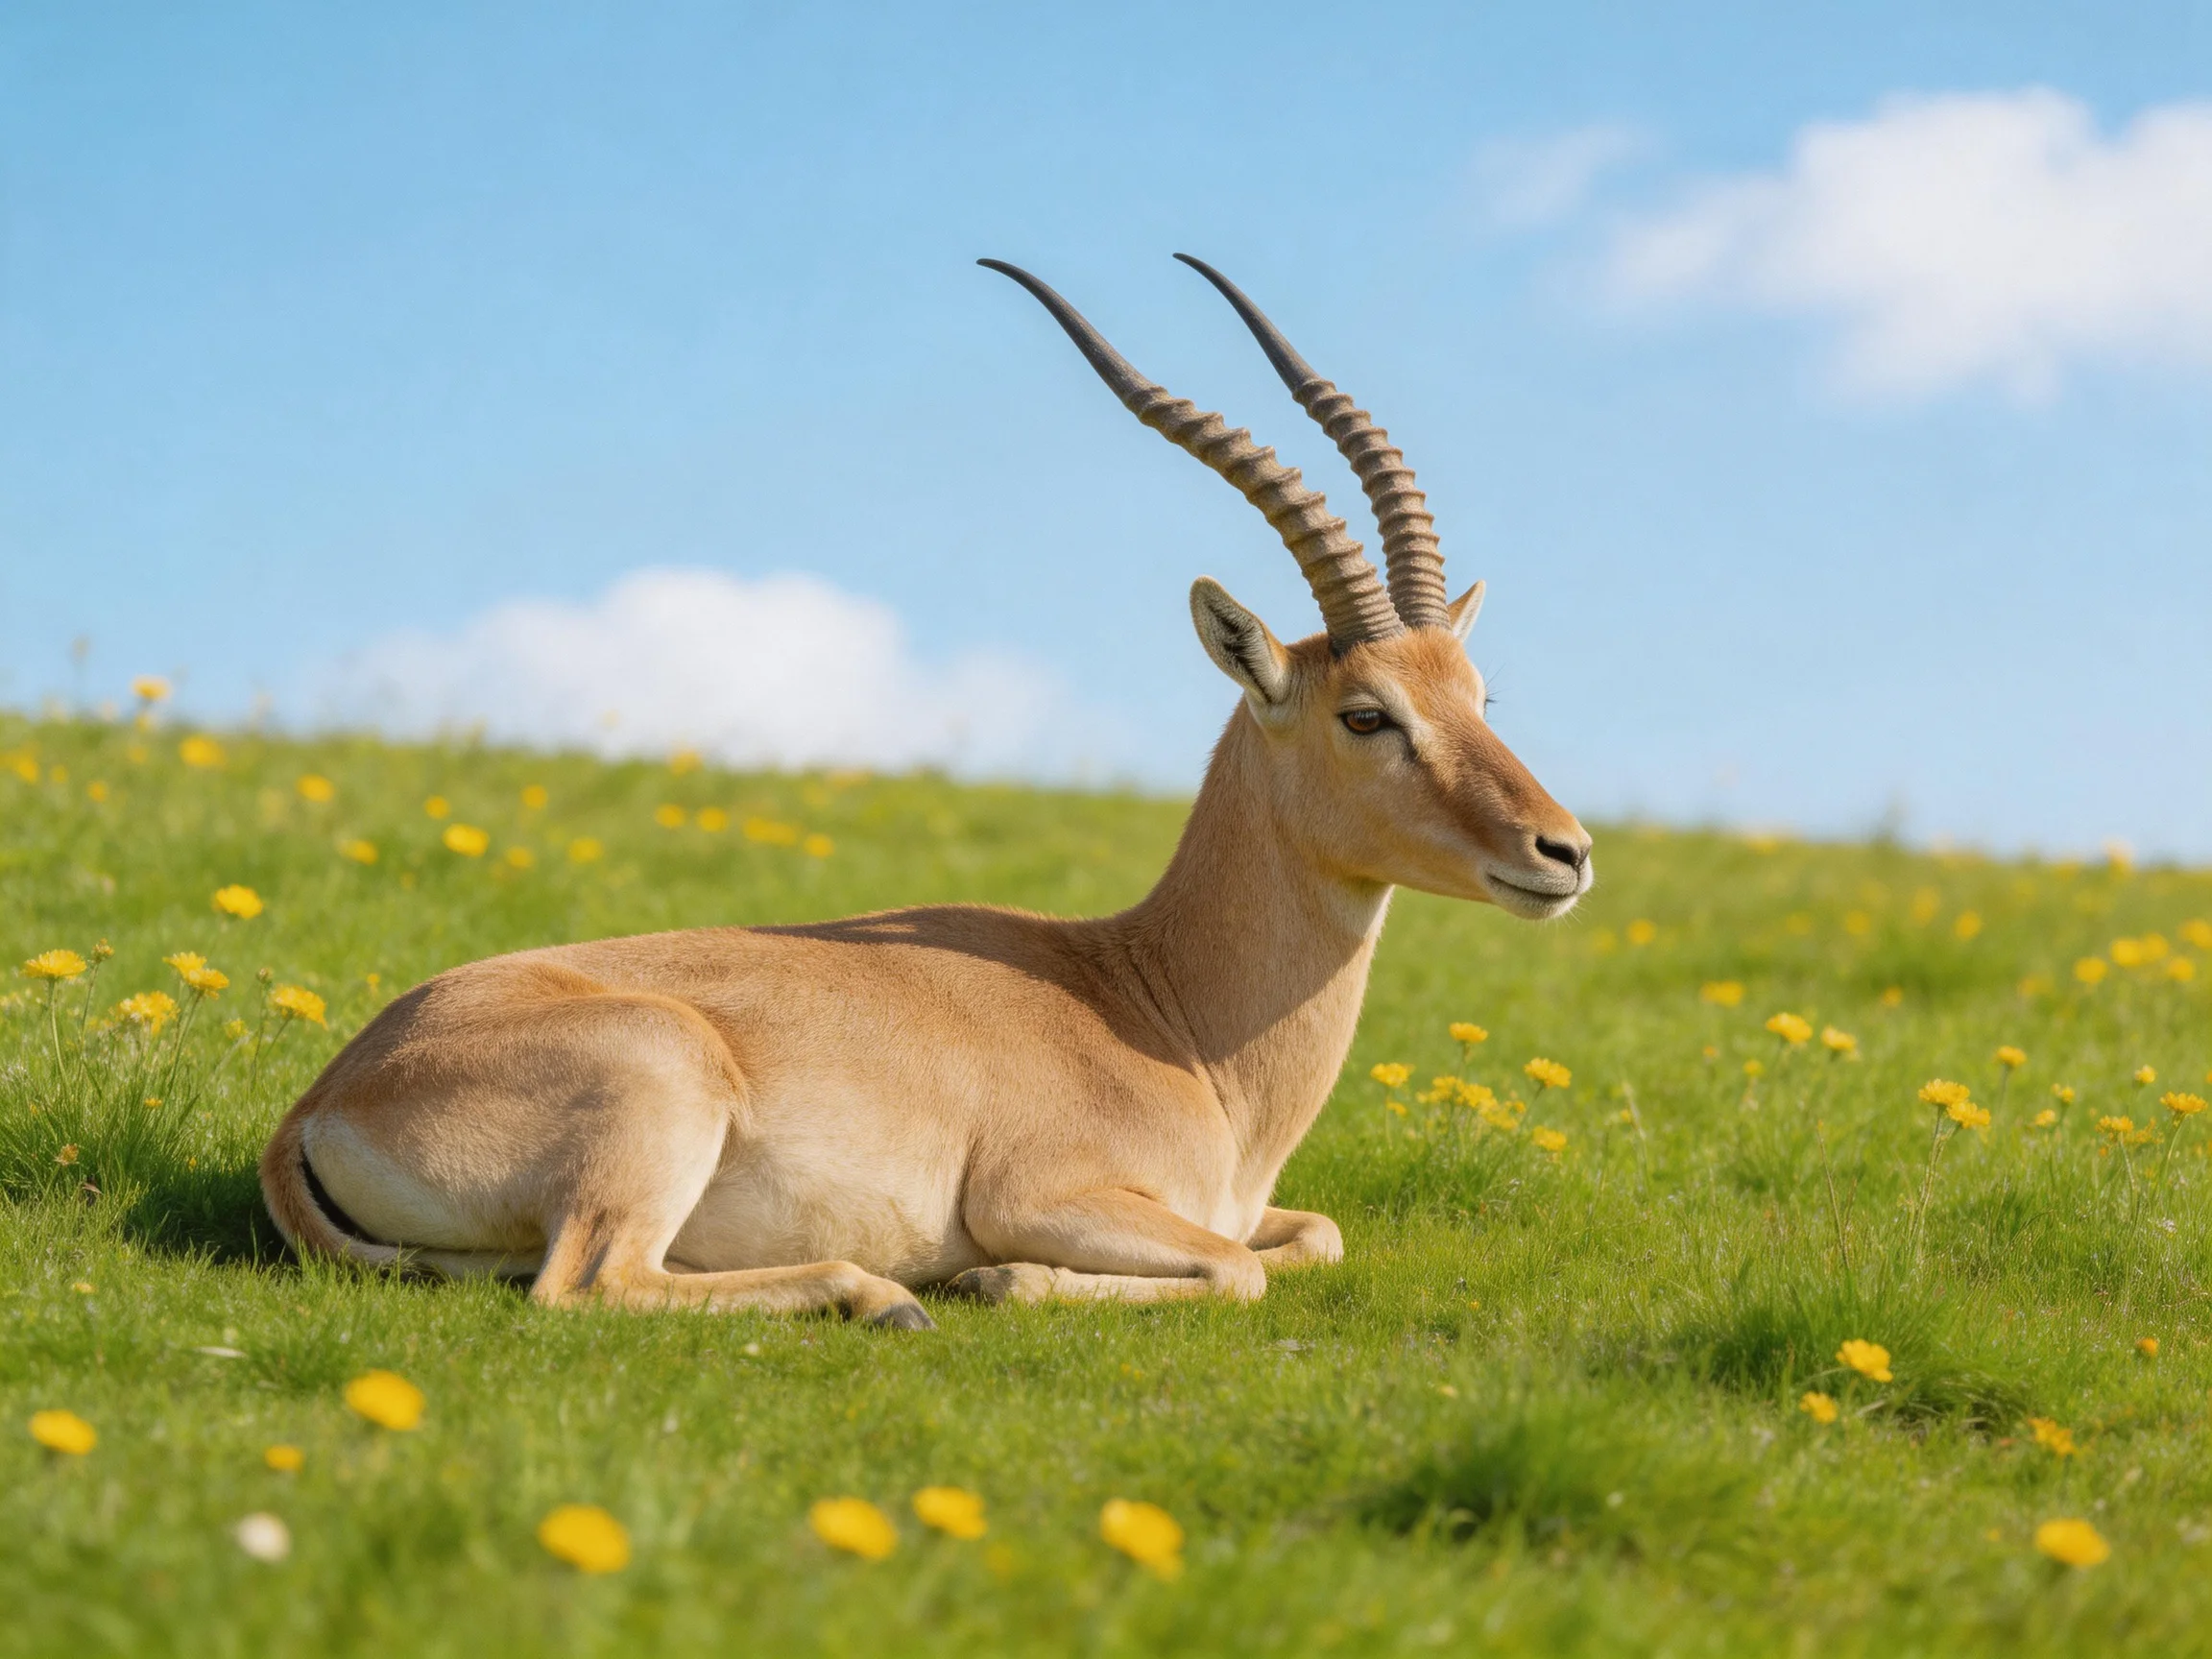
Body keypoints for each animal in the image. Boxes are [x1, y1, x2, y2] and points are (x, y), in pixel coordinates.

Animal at [258, 255, 1592, 1328]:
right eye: (1367, 714)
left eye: (1480, 691)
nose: (1563, 851)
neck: (1160, 1009)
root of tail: (327, 1094)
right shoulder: (1050, 1192)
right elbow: (1237, 1268)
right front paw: (996, 1278)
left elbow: (1312, 1234)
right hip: (652, 1115)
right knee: (586, 1285)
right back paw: (884, 1295)